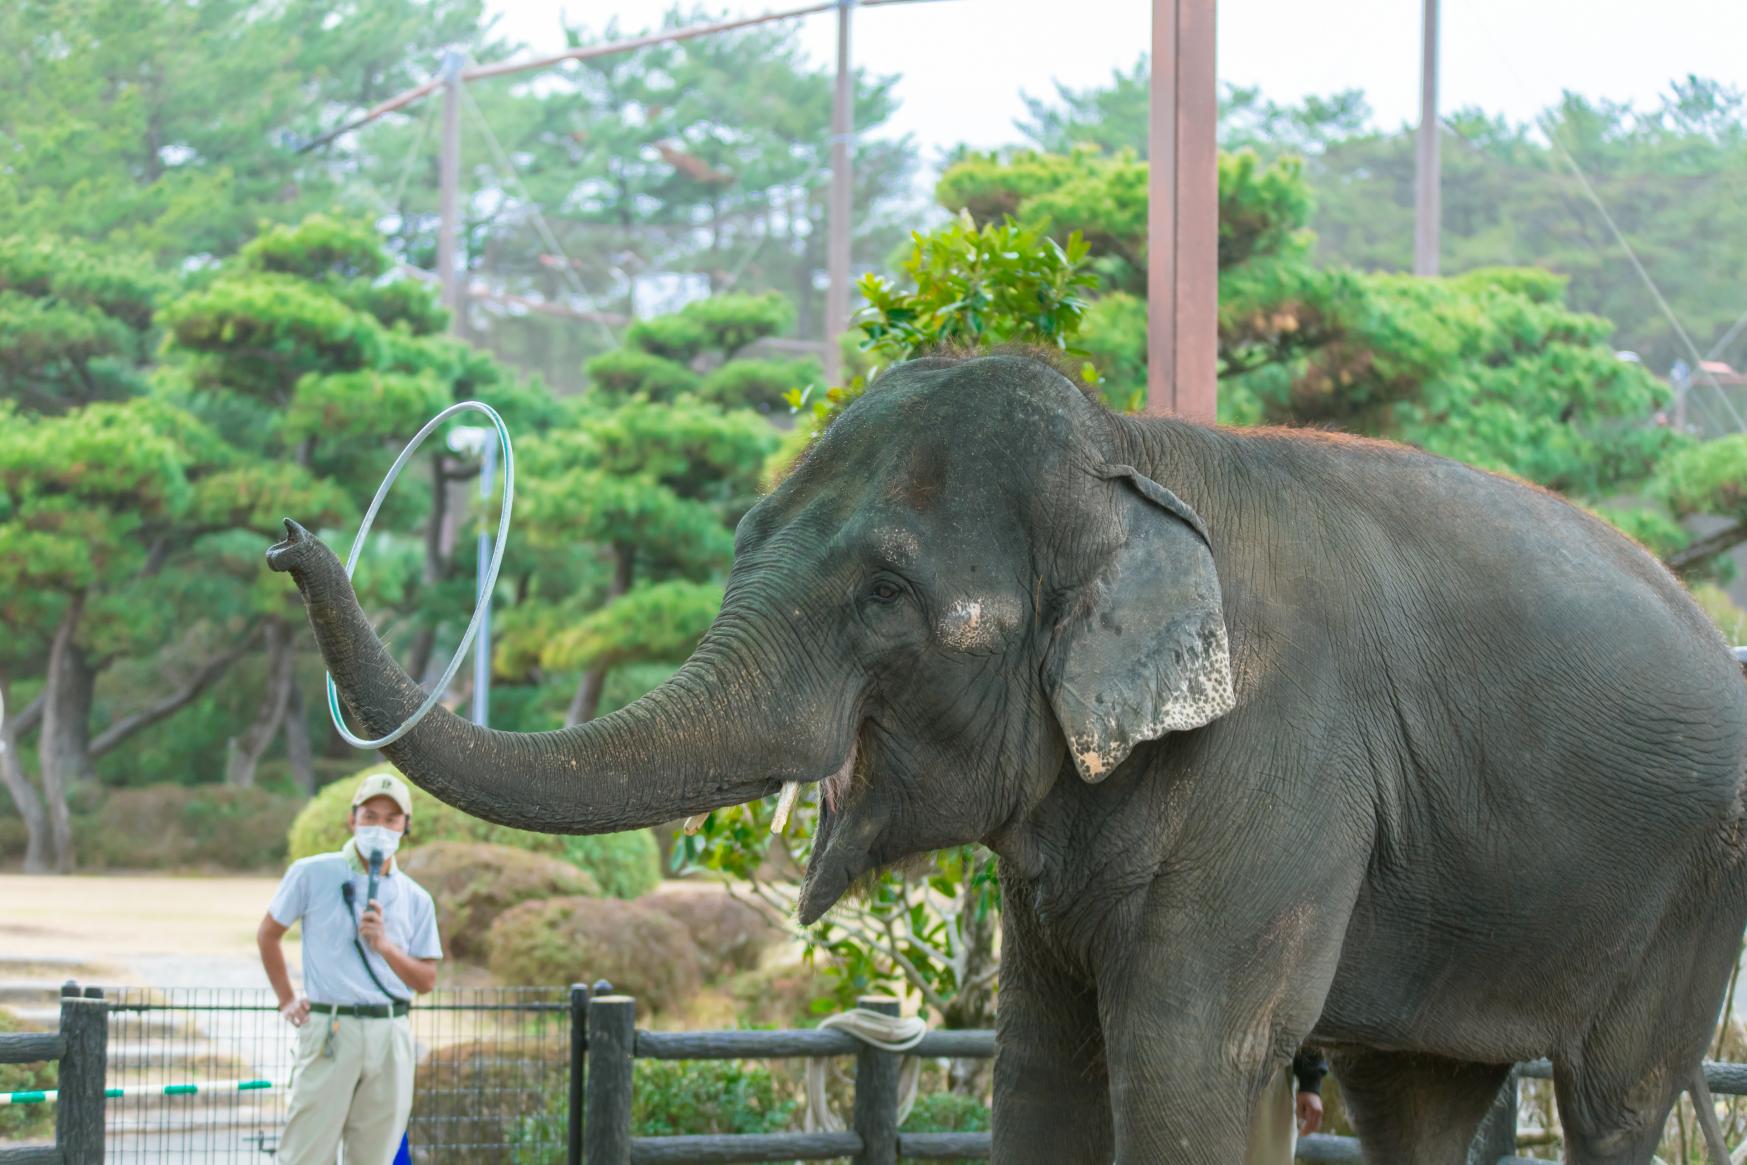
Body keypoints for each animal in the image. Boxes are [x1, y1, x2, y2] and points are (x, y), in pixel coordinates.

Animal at [269, 356, 1747, 1165]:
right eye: (742, 535)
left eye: (882, 594)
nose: (290, 536)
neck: (1133, 457)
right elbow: (1042, 1068)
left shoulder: (1281, 759)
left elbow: (1187, 1060)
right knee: (1413, 1102)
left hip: (1691, 886)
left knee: (1610, 1101)